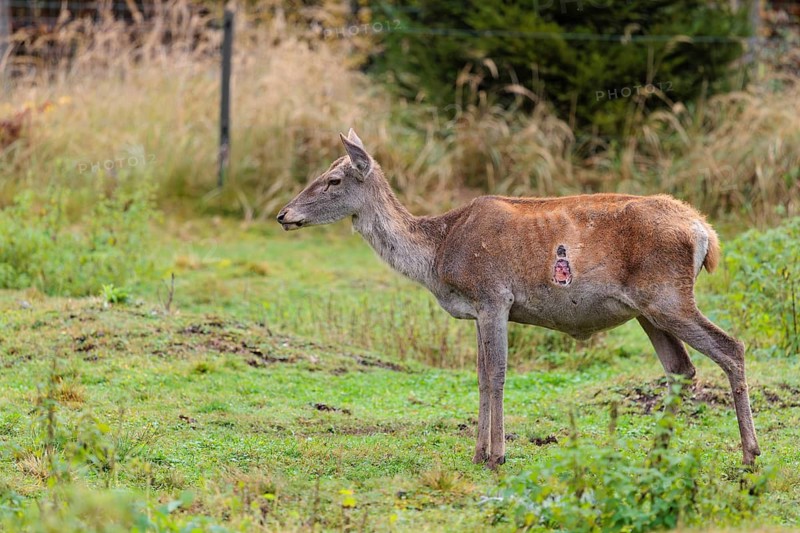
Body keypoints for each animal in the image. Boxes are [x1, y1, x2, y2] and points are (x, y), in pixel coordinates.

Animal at [277, 129, 761, 470]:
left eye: (333, 179)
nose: (284, 214)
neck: (437, 257)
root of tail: (705, 233)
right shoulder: (477, 310)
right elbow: (479, 375)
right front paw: (477, 453)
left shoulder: (494, 297)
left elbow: (497, 375)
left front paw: (497, 456)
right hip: (648, 309)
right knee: (680, 368)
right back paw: (659, 457)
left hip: (668, 296)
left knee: (731, 348)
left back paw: (750, 455)